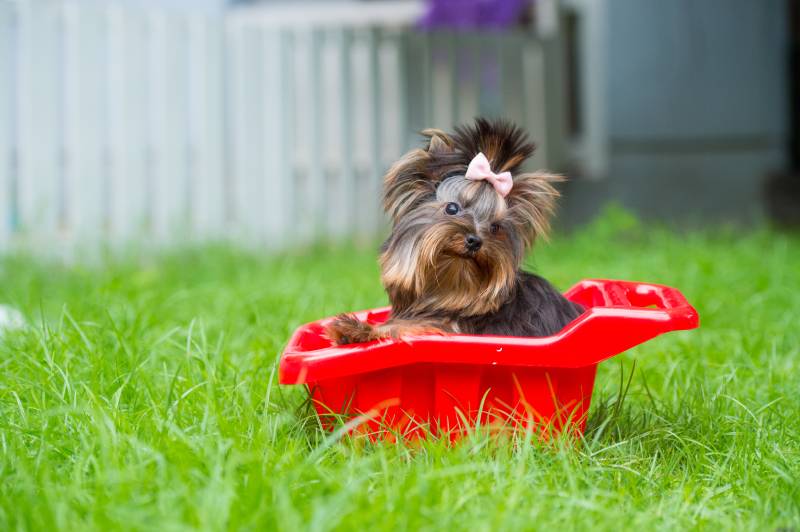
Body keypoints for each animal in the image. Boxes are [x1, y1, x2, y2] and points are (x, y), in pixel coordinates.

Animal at [324, 117, 580, 344]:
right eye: (452, 208)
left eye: (495, 227)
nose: (474, 241)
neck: (450, 293)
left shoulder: (446, 327)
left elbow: (409, 326)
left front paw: (356, 329)